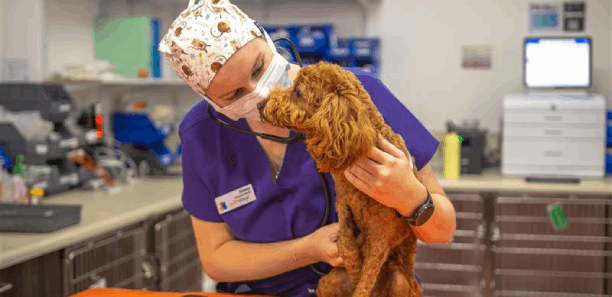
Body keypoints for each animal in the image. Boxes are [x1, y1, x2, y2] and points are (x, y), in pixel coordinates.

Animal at [256, 61, 420, 296]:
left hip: (401, 282)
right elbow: (346, 245)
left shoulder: (380, 235)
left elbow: (365, 281)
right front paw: (353, 266)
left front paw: (360, 277)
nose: (260, 105)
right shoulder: (343, 205)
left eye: (298, 92)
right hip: (328, 281)